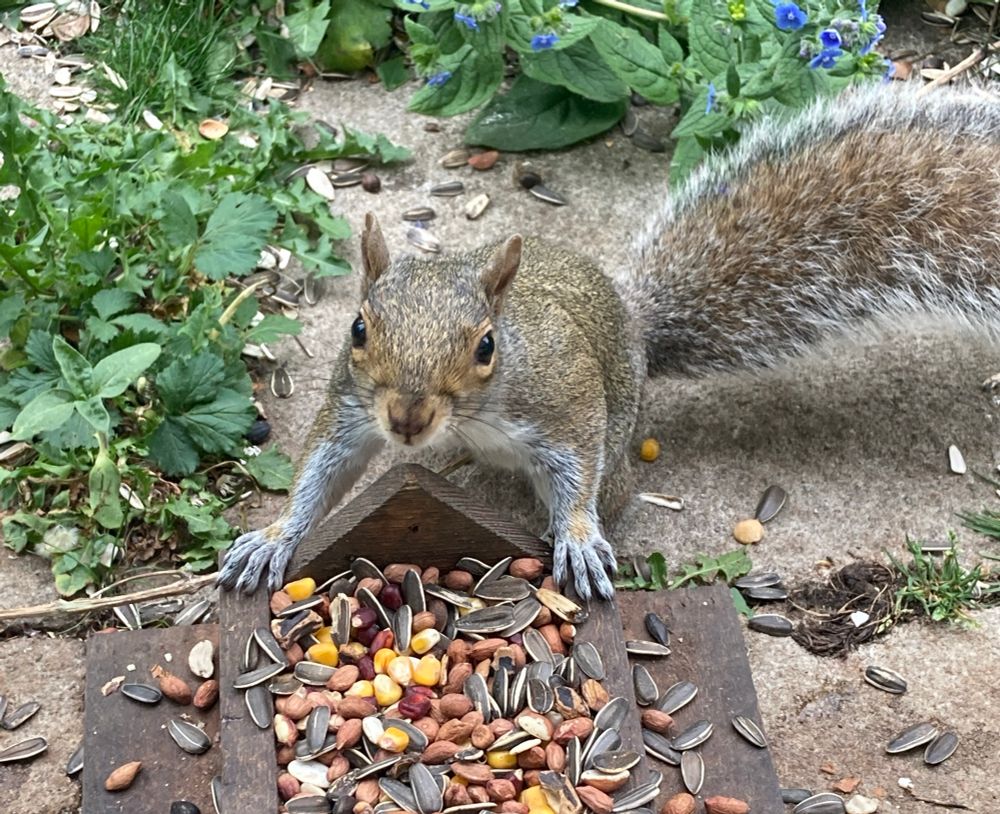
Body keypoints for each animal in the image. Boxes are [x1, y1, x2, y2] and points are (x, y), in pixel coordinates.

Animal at [218, 82, 1000, 601]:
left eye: (486, 347)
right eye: (358, 328)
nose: (408, 419)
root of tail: (634, 327)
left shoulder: (563, 397)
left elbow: (577, 466)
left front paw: (578, 538)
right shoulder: (352, 406)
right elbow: (325, 468)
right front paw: (273, 539)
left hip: (619, 449)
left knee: (610, 485)